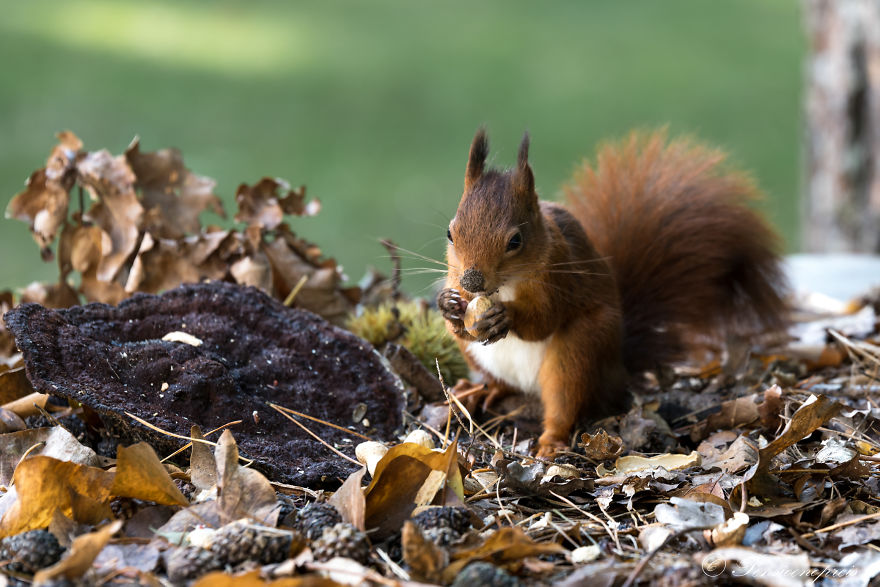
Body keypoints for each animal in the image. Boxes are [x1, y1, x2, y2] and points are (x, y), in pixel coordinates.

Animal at [437, 128, 788, 457]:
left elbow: (543, 321)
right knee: (499, 382)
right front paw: (449, 306)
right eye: (450, 233)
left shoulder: (562, 277)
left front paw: (505, 316)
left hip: (578, 351)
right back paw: (482, 391)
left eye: (515, 241)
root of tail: (618, 371)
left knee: (564, 403)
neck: (504, 287)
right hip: (481, 357)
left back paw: (550, 441)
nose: (471, 282)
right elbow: (461, 324)